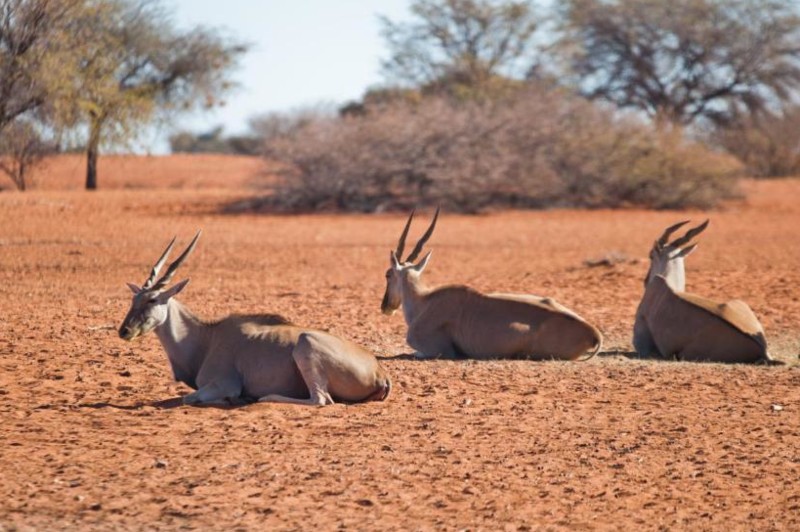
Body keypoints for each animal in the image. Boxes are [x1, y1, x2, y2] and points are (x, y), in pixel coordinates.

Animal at [119, 231, 390, 406]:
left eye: (152, 300)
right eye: (134, 300)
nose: (124, 331)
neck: (206, 338)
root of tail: (379, 372)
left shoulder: (224, 383)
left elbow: (190, 397)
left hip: (305, 344)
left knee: (321, 400)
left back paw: (264, 397)